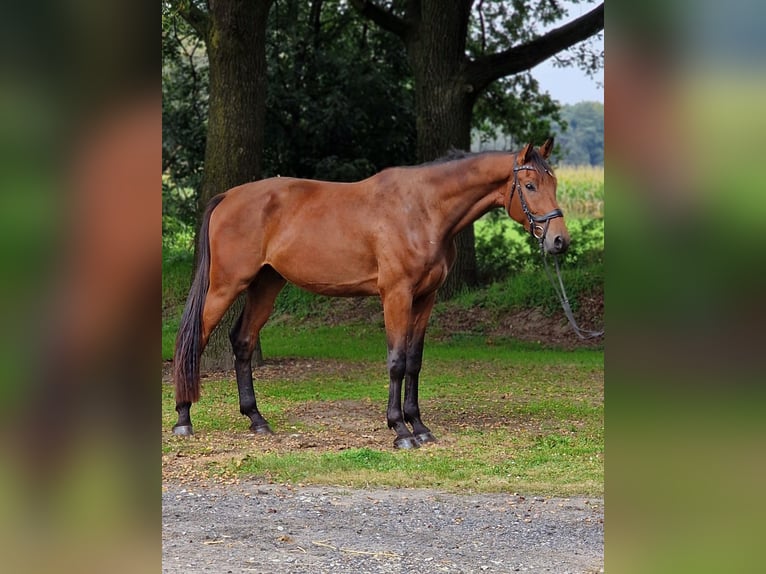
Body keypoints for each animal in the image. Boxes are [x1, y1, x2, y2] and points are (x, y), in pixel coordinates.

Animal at [174, 140, 568, 450]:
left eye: (554, 181)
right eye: (530, 185)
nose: (559, 241)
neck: (422, 209)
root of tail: (229, 196)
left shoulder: (425, 299)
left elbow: (414, 362)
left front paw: (419, 426)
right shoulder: (396, 295)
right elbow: (396, 362)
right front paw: (400, 430)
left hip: (266, 284)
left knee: (242, 341)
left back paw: (257, 419)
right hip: (225, 286)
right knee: (193, 340)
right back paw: (183, 419)